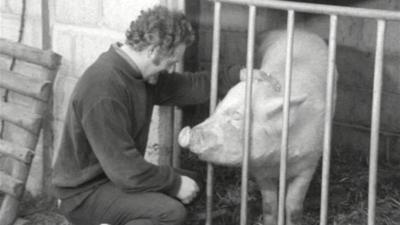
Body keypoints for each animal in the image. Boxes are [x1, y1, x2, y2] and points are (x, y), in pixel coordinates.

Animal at [179, 28, 338, 225]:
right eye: (218, 106)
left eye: (237, 116)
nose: (187, 133)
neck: (277, 160)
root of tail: (301, 31)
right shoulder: (260, 170)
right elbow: (269, 204)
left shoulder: (309, 162)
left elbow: (293, 205)